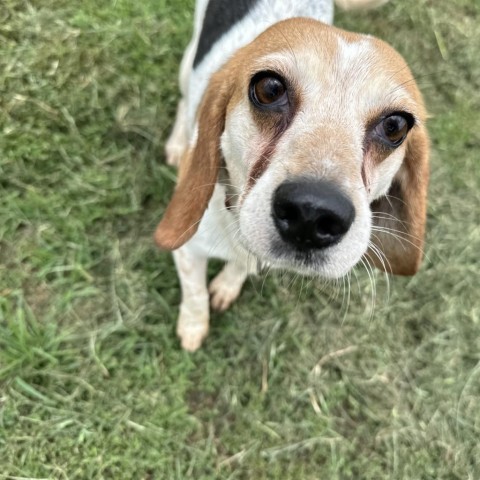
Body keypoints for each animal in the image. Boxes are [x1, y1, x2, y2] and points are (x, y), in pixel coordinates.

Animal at [156, 0, 430, 352]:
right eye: (269, 89)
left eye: (395, 126)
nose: (312, 214)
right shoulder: (187, 252)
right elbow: (194, 294)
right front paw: (193, 326)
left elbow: (241, 266)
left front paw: (228, 284)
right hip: (188, 64)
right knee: (184, 101)